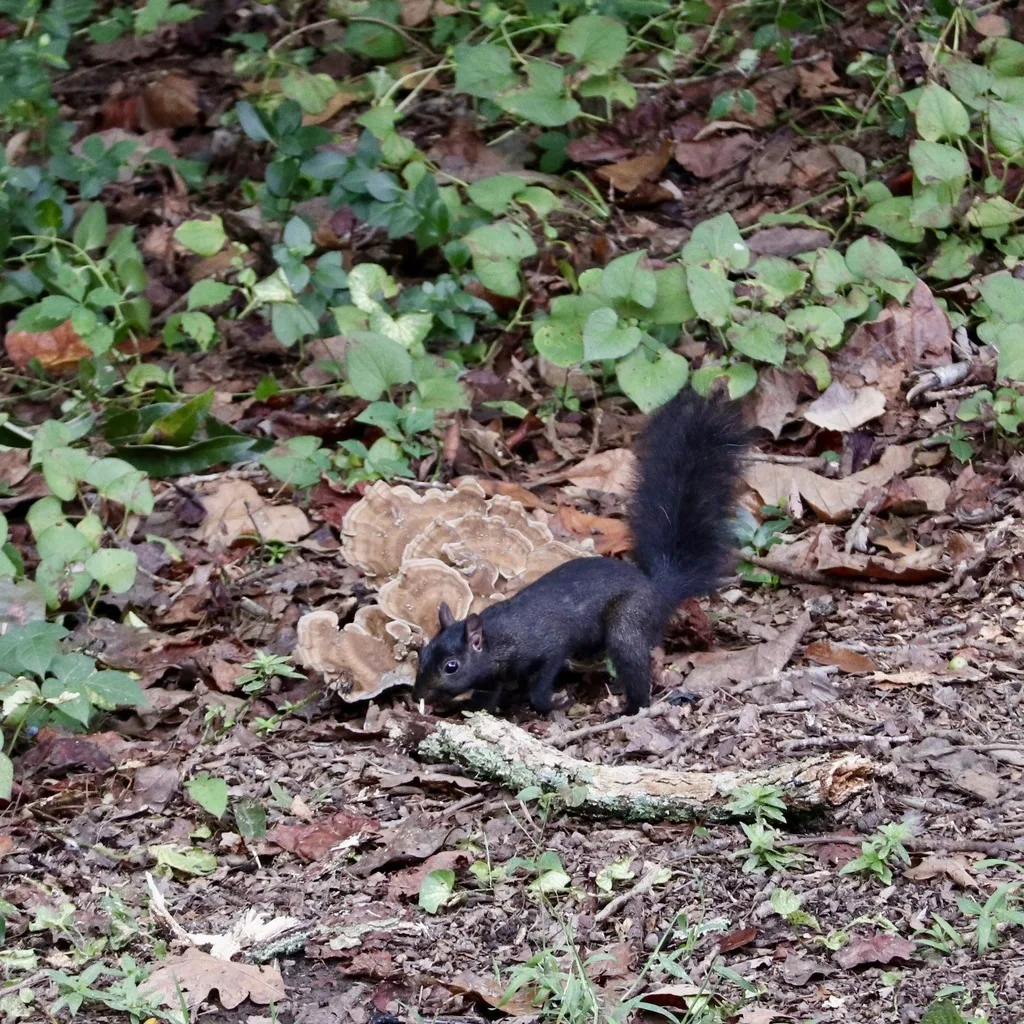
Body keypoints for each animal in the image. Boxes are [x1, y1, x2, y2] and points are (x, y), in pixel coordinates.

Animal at [413, 390, 748, 716]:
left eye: (451, 667)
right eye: (422, 654)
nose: (421, 694)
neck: (497, 638)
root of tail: (658, 590)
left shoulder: (548, 649)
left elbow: (540, 685)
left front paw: (553, 703)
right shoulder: (493, 676)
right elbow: (487, 697)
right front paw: (468, 709)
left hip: (628, 622)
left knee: (633, 666)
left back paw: (628, 707)